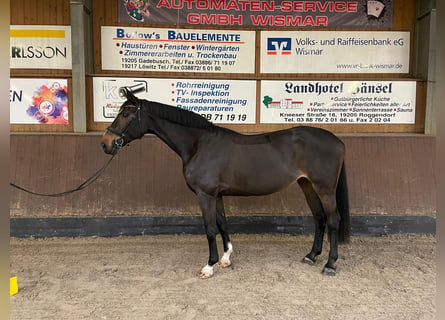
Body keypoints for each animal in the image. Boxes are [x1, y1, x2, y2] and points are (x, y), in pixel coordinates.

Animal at [101, 89, 350, 278]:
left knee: (333, 220)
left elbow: (210, 228)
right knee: (319, 218)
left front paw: (209, 266)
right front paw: (225, 259)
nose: (106, 144)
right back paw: (311, 256)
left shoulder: (205, 194)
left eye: (126, 113)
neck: (199, 144)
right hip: (307, 185)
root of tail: (337, 141)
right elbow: (222, 224)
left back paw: (330, 264)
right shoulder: (216, 194)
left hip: (325, 189)